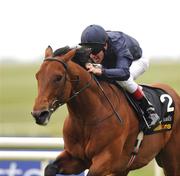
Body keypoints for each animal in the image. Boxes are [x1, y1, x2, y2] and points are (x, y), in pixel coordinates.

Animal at [31, 46, 180, 175]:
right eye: (37, 76)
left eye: (58, 77)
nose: (39, 114)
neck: (86, 118)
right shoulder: (76, 158)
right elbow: (50, 168)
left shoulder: (105, 160)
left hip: (171, 159)